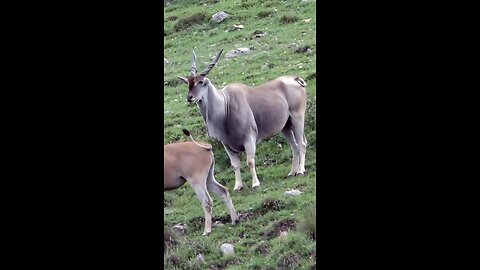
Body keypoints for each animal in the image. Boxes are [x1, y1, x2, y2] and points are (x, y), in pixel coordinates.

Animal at [178, 49, 310, 191]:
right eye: (188, 83)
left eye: (201, 82)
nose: (190, 97)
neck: (226, 105)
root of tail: (295, 79)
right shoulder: (227, 144)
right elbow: (235, 165)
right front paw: (238, 186)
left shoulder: (249, 137)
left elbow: (250, 161)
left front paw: (255, 183)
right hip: (286, 126)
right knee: (294, 146)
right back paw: (292, 172)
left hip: (298, 117)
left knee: (301, 143)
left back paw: (301, 171)